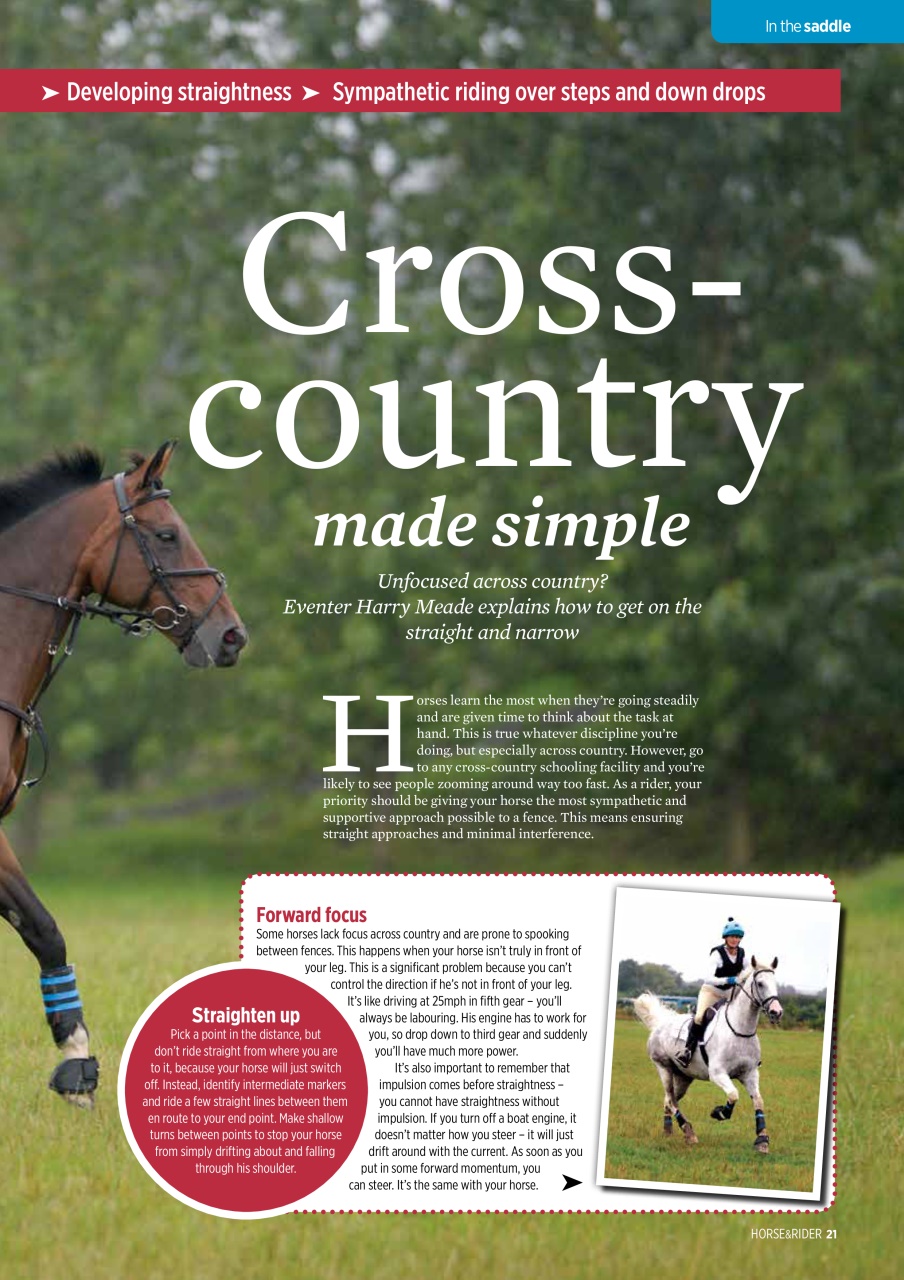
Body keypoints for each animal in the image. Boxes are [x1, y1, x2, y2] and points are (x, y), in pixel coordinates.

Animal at [633, 959, 783, 1154]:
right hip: (663, 1067)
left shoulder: (750, 1073)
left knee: (668, 1100)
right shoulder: (718, 1073)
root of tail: (660, 1024)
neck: (740, 1030)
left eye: (775, 984)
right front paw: (719, 1112)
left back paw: (668, 1131)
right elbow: (733, 1095)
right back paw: (689, 1132)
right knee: (672, 1100)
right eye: (760, 983)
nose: (776, 1012)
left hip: (683, 1076)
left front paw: (762, 1140)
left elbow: (758, 1101)